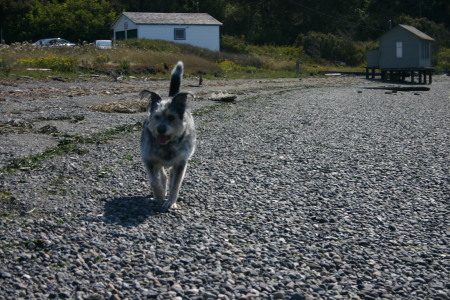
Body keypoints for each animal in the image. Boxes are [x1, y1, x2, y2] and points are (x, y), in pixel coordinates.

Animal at [140, 61, 196, 209]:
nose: (161, 129)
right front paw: (159, 195)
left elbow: (176, 184)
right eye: (156, 116)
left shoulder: (181, 163)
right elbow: (154, 181)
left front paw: (171, 201)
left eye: (171, 117)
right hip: (158, 162)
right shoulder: (149, 159)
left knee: (170, 176)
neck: (167, 145)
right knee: (163, 175)